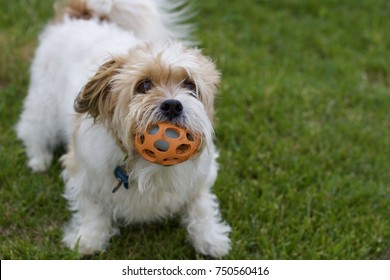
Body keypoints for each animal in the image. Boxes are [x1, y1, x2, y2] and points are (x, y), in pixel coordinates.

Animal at [16, 0, 232, 258]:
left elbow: (201, 206)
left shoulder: (200, 177)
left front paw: (211, 239)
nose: (172, 105)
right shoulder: (83, 172)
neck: (146, 164)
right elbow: (92, 209)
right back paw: (38, 159)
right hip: (43, 104)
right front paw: (88, 240)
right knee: (31, 129)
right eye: (144, 85)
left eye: (190, 85)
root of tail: (81, 15)